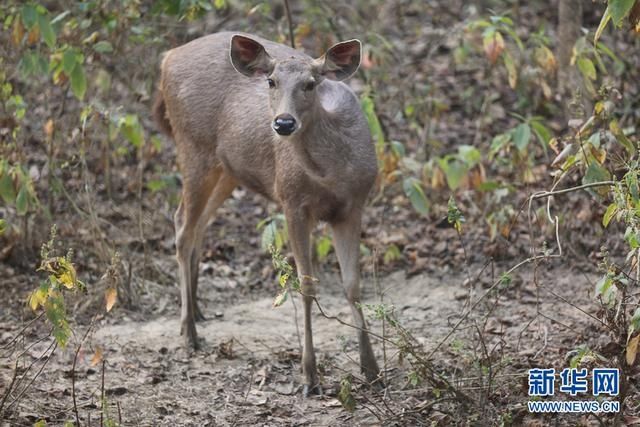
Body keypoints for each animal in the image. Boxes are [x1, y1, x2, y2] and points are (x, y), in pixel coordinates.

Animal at [153, 31, 380, 396]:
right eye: (271, 81)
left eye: (311, 83)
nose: (284, 123)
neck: (330, 174)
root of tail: (168, 57)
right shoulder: (292, 201)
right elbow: (307, 285)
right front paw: (309, 376)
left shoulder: (353, 205)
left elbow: (353, 286)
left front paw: (371, 369)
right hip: (192, 147)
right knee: (184, 230)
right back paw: (188, 332)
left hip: (227, 168)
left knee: (189, 221)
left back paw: (198, 312)